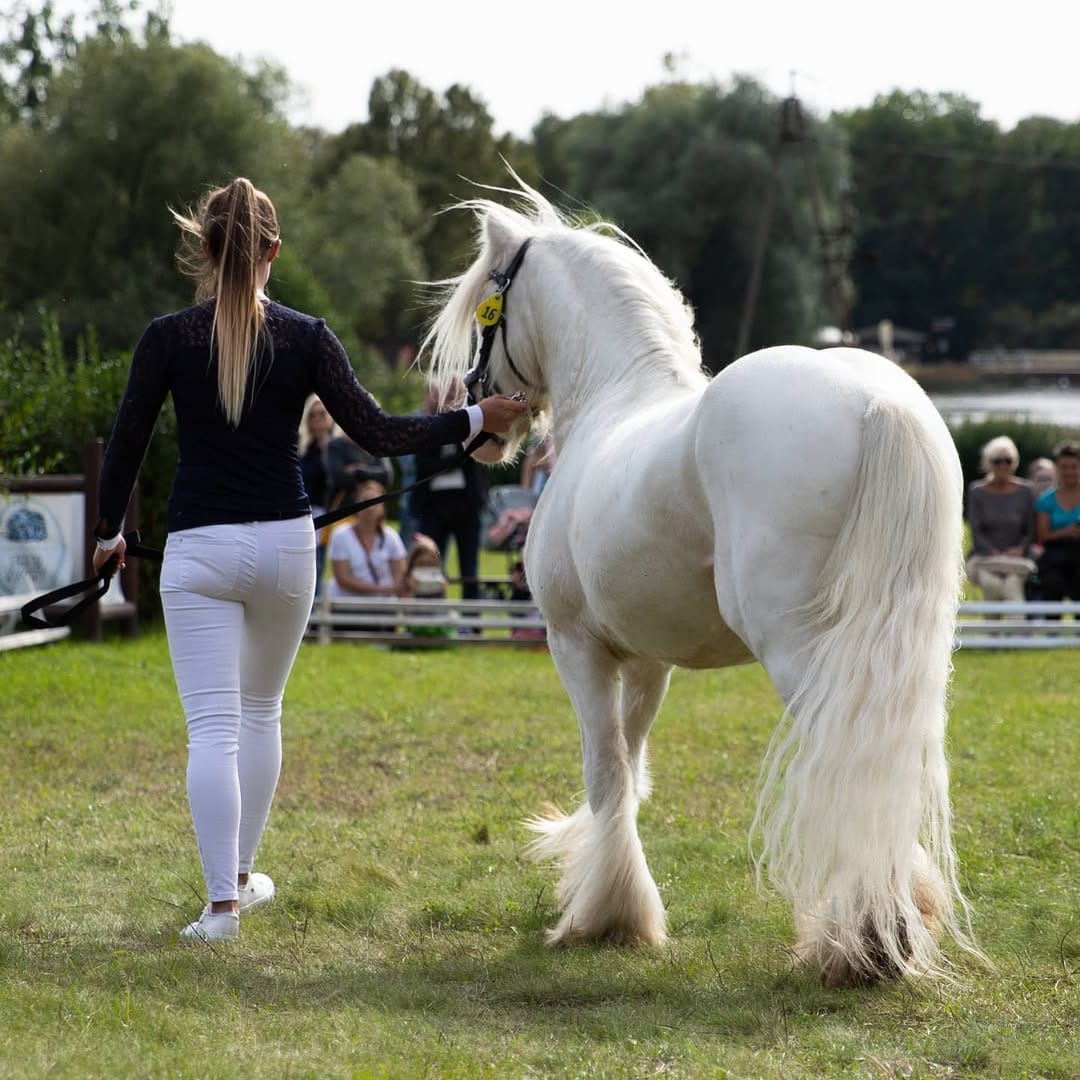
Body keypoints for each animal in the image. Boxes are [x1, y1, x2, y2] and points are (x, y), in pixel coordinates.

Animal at [422, 184, 978, 987]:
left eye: (488, 310)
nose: (480, 419)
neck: (617, 397)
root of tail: (879, 403)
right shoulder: (648, 660)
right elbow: (631, 768)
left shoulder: (576, 646)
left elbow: (606, 772)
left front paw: (606, 916)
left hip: (803, 653)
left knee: (847, 762)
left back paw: (864, 941)